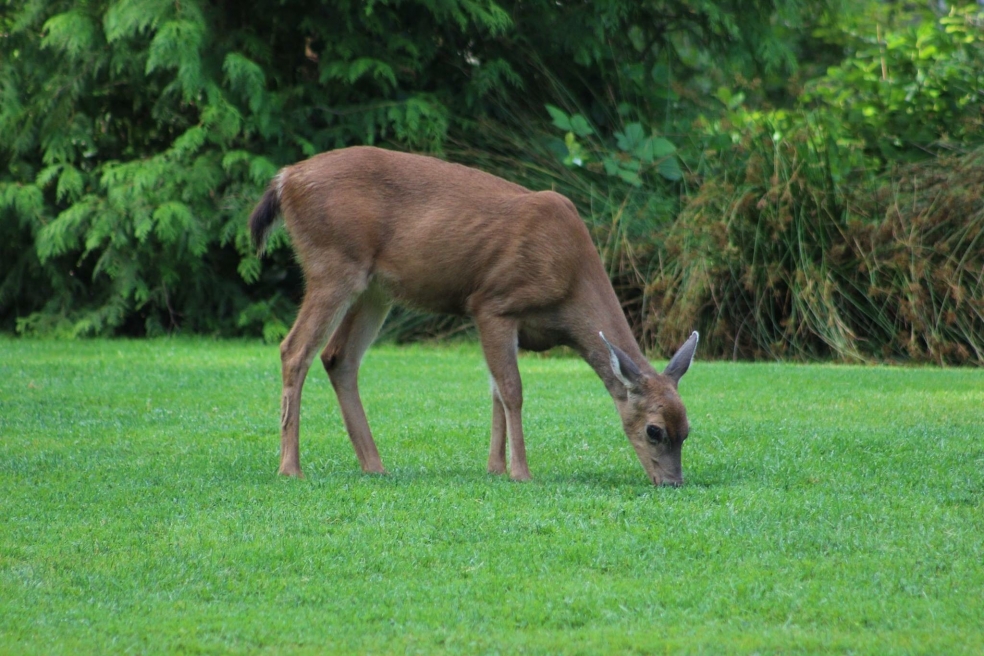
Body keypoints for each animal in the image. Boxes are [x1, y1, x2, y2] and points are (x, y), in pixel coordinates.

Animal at [249, 146, 699, 486]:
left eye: (688, 430)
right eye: (654, 430)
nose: (672, 483)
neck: (571, 283)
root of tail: (285, 179)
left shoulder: (505, 320)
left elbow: (495, 391)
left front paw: (495, 468)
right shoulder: (493, 302)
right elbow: (512, 390)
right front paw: (520, 472)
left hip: (375, 289)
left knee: (338, 357)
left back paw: (374, 465)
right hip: (333, 264)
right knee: (294, 350)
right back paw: (290, 468)